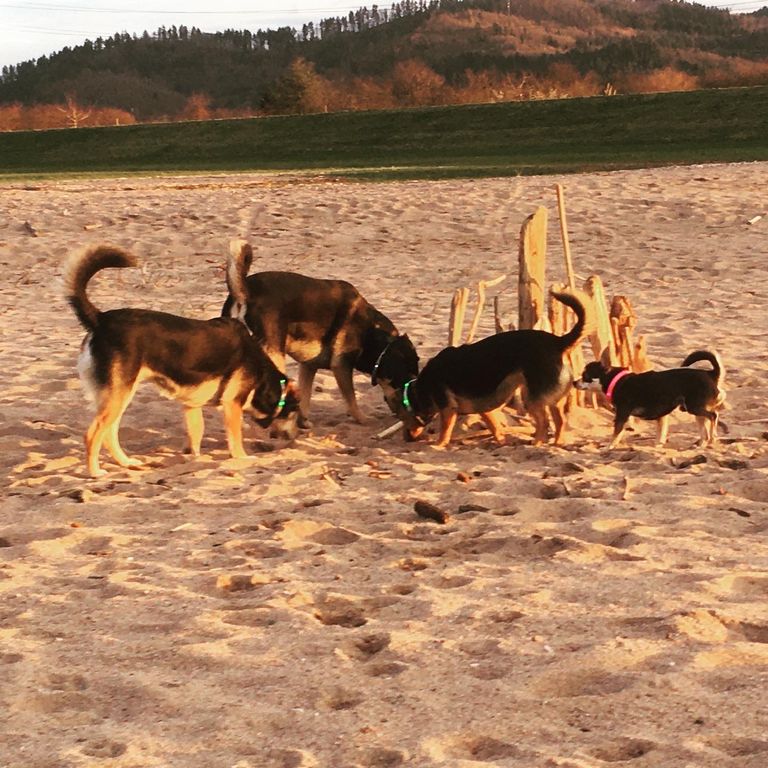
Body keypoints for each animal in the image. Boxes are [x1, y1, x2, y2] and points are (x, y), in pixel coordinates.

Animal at [67, 244, 300, 474]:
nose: (295, 438)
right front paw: (242, 458)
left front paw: (194, 459)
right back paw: (96, 472)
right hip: (119, 395)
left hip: (120, 396)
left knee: (110, 434)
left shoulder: (192, 406)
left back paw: (127, 463)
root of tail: (100, 319)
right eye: (294, 411)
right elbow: (235, 440)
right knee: (93, 434)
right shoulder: (232, 405)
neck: (262, 369)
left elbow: (196, 433)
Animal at [222, 240, 416, 426]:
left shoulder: (308, 367)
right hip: (273, 357)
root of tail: (245, 290)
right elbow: (351, 400)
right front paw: (363, 419)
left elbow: (305, 398)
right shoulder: (341, 366)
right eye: (405, 378)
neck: (373, 332)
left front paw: (302, 422)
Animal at [392, 288, 584, 448]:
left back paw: (536, 443)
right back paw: (557, 443)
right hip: (553, 400)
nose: (406, 439)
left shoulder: (447, 409)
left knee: (544, 423)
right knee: (560, 421)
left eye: (402, 417)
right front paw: (501, 441)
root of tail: (558, 342)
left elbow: (445, 431)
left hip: (531, 399)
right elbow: (495, 427)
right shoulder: (484, 409)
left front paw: (438, 445)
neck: (420, 389)